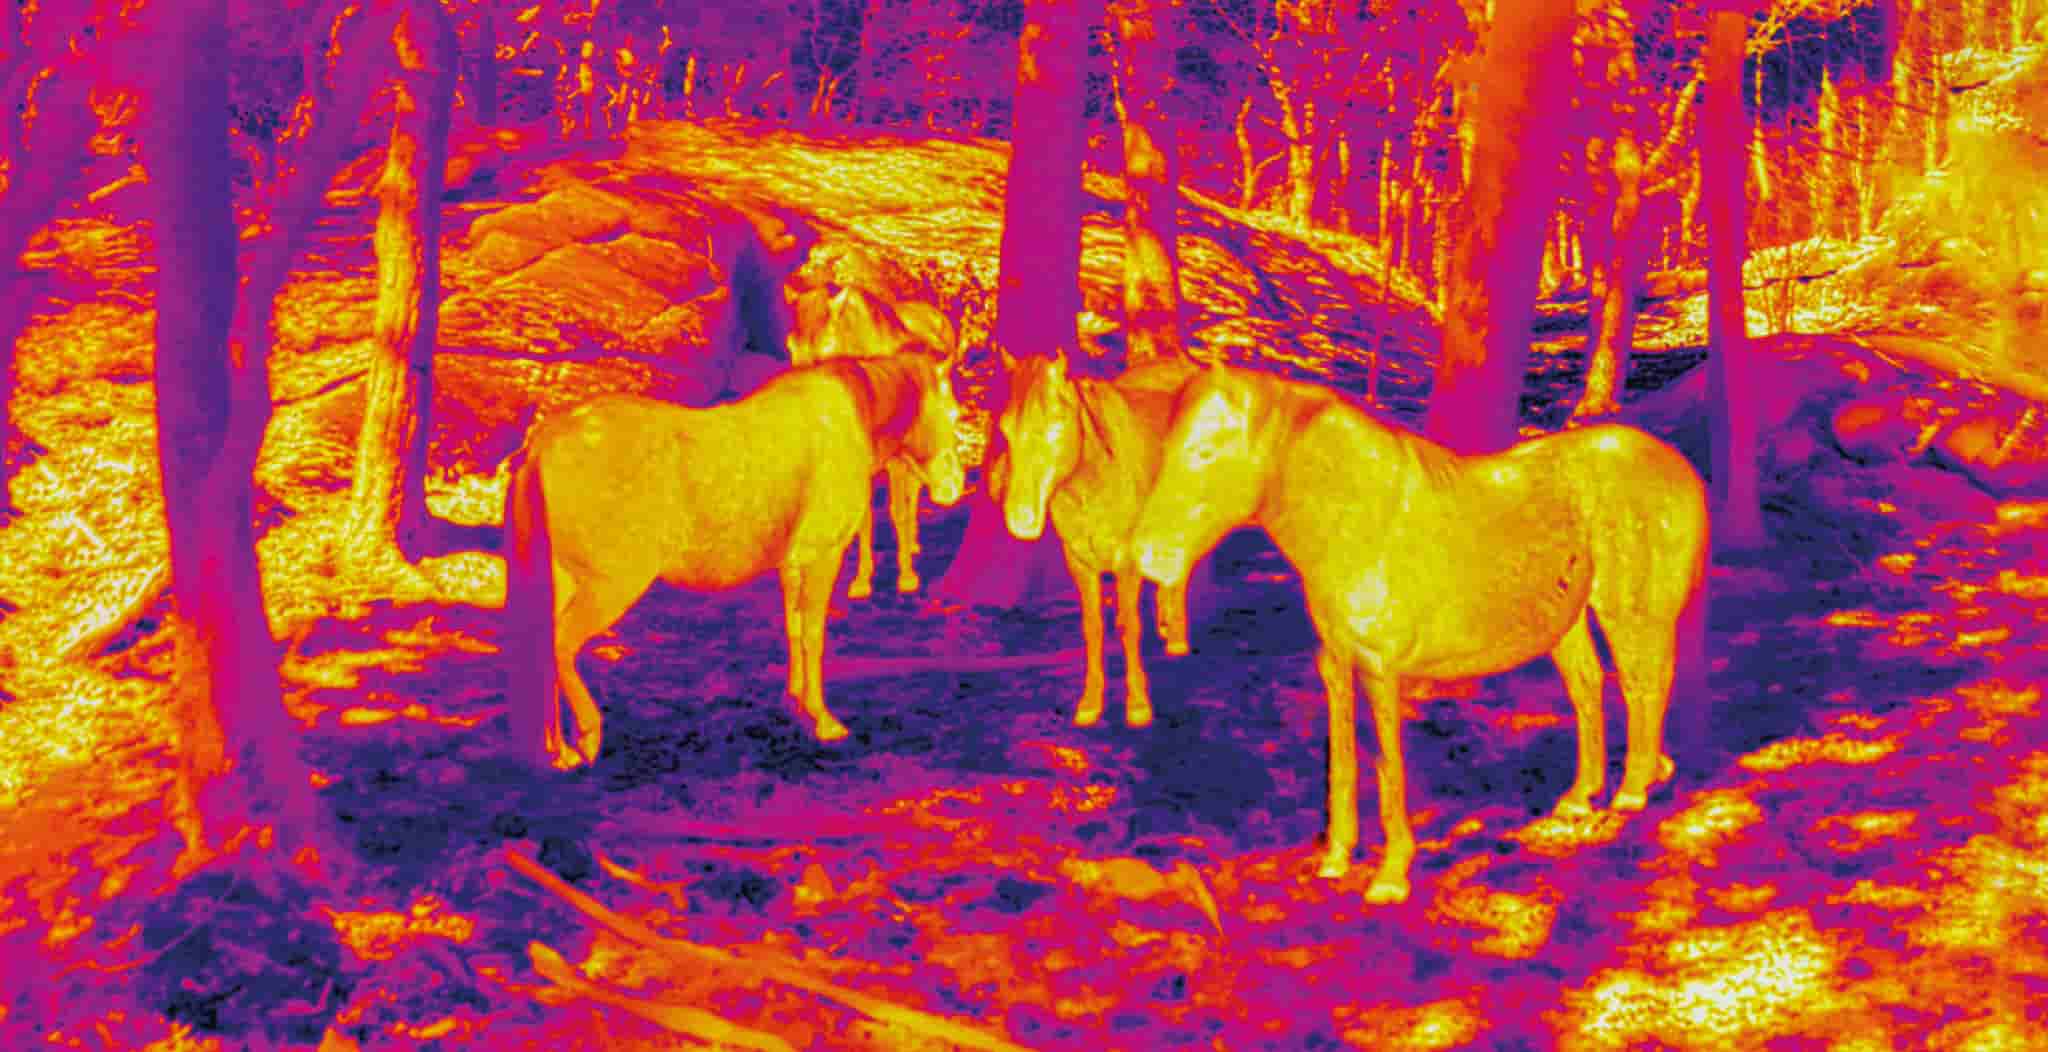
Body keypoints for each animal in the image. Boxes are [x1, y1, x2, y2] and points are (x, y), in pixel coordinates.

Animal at [503, 349, 966, 771]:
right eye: (954, 413)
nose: (954, 485)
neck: (844, 419)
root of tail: (546, 440)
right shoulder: (822, 557)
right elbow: (813, 634)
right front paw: (823, 720)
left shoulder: (791, 565)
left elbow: (793, 629)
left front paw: (797, 703)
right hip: (610, 585)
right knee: (561, 644)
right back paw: (588, 734)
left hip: (564, 580)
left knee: (546, 649)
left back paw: (558, 750)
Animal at [785, 282, 959, 599]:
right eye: (791, 347)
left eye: (825, 349)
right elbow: (864, 521)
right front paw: (862, 580)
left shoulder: (897, 457)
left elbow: (897, 511)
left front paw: (906, 577)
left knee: (913, 490)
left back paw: (912, 543)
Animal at [993, 347, 1199, 728]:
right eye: (1005, 428)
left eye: (1057, 424)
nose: (1019, 517)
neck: (1093, 484)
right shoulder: (1079, 563)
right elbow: (1093, 628)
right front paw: (1090, 702)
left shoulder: (1126, 561)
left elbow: (1129, 626)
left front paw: (1137, 703)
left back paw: (1177, 635)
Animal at [1129, 361, 1710, 905]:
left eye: (1207, 451)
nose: (1148, 554)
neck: (1358, 523)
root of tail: (1680, 468)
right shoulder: (1335, 666)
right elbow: (1343, 761)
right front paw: (1336, 859)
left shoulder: (1379, 669)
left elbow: (1387, 765)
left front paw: (1391, 877)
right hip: (1567, 623)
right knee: (1591, 687)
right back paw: (1581, 797)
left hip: (1631, 612)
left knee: (1643, 686)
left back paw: (1633, 791)